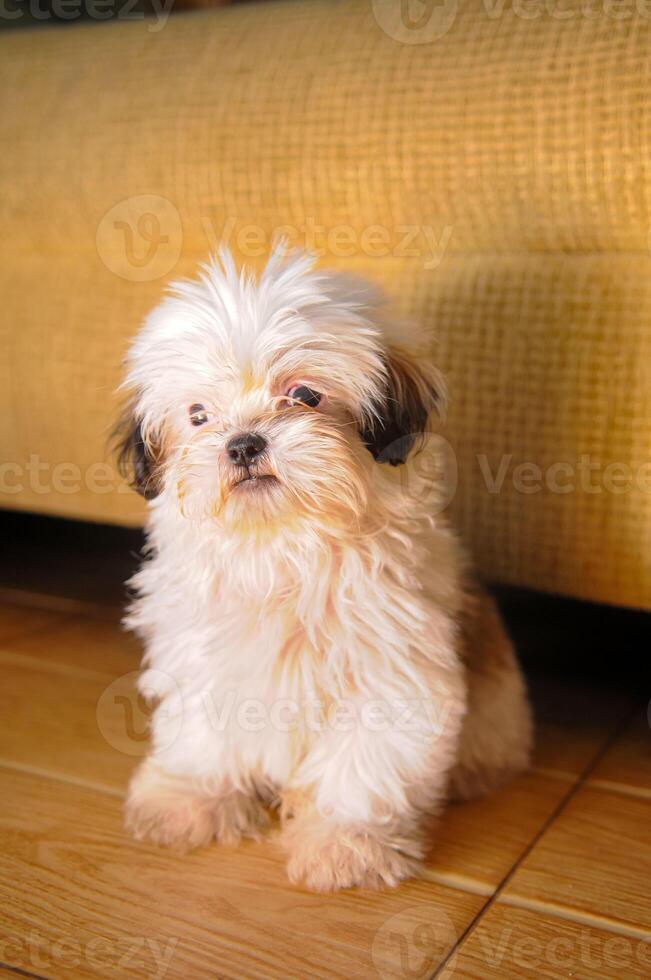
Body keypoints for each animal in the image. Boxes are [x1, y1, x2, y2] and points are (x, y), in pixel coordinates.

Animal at [117, 249, 532, 892]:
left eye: (305, 395)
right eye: (198, 415)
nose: (243, 443)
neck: (285, 544)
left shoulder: (391, 673)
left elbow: (364, 765)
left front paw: (345, 842)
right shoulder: (201, 654)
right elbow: (202, 733)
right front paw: (189, 799)